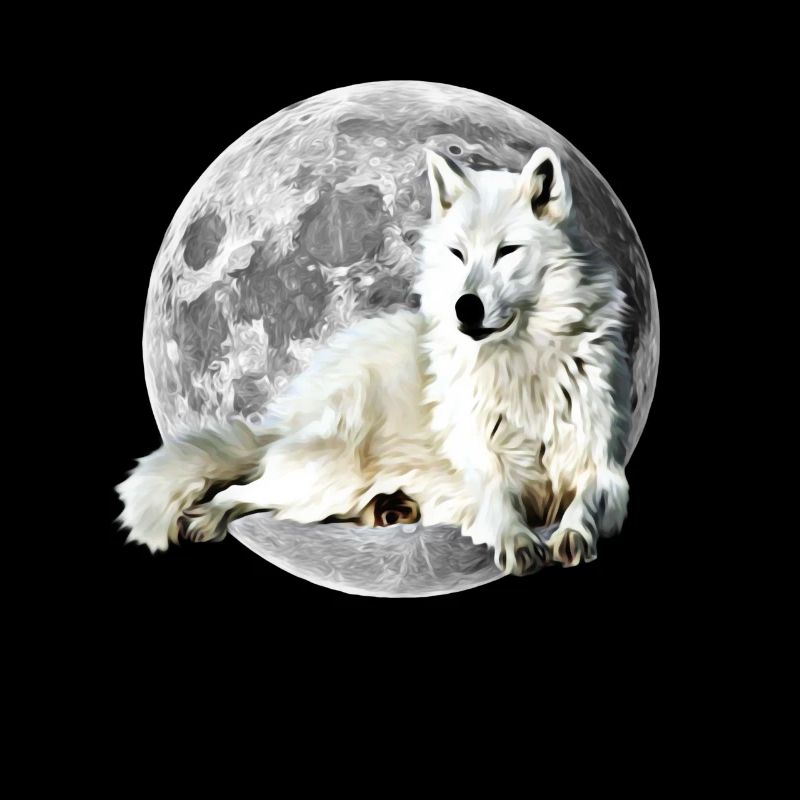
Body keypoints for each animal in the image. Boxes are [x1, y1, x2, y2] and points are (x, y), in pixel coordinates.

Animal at [116, 146, 633, 575]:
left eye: (507, 251)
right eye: (458, 253)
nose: (465, 307)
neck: (522, 365)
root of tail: (291, 417)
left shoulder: (604, 466)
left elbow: (586, 500)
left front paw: (572, 533)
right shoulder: (481, 465)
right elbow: (498, 501)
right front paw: (518, 541)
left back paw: (390, 509)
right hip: (324, 477)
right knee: (241, 491)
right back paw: (207, 516)